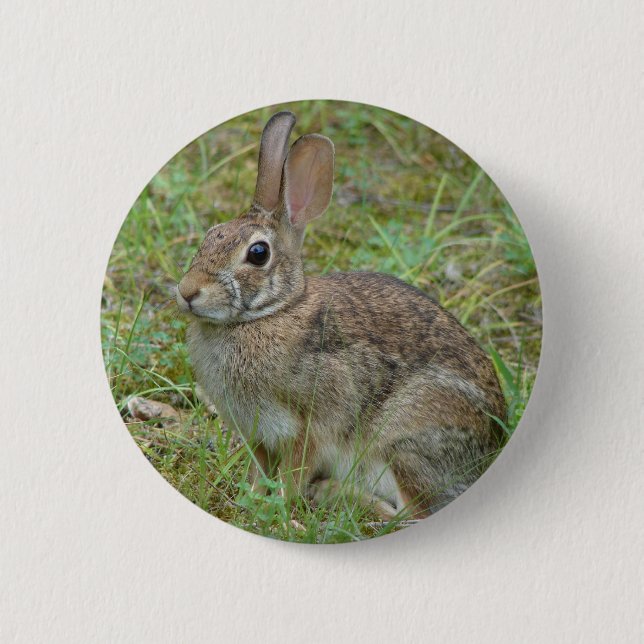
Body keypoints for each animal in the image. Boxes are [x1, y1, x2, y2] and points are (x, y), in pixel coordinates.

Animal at [176, 111, 506, 519]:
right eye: (211, 234)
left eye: (258, 253)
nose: (187, 291)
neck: (270, 313)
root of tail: (491, 451)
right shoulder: (259, 435)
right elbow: (258, 471)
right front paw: (249, 498)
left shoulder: (310, 425)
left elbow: (294, 473)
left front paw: (280, 507)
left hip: (403, 440)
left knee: (407, 514)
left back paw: (332, 493)